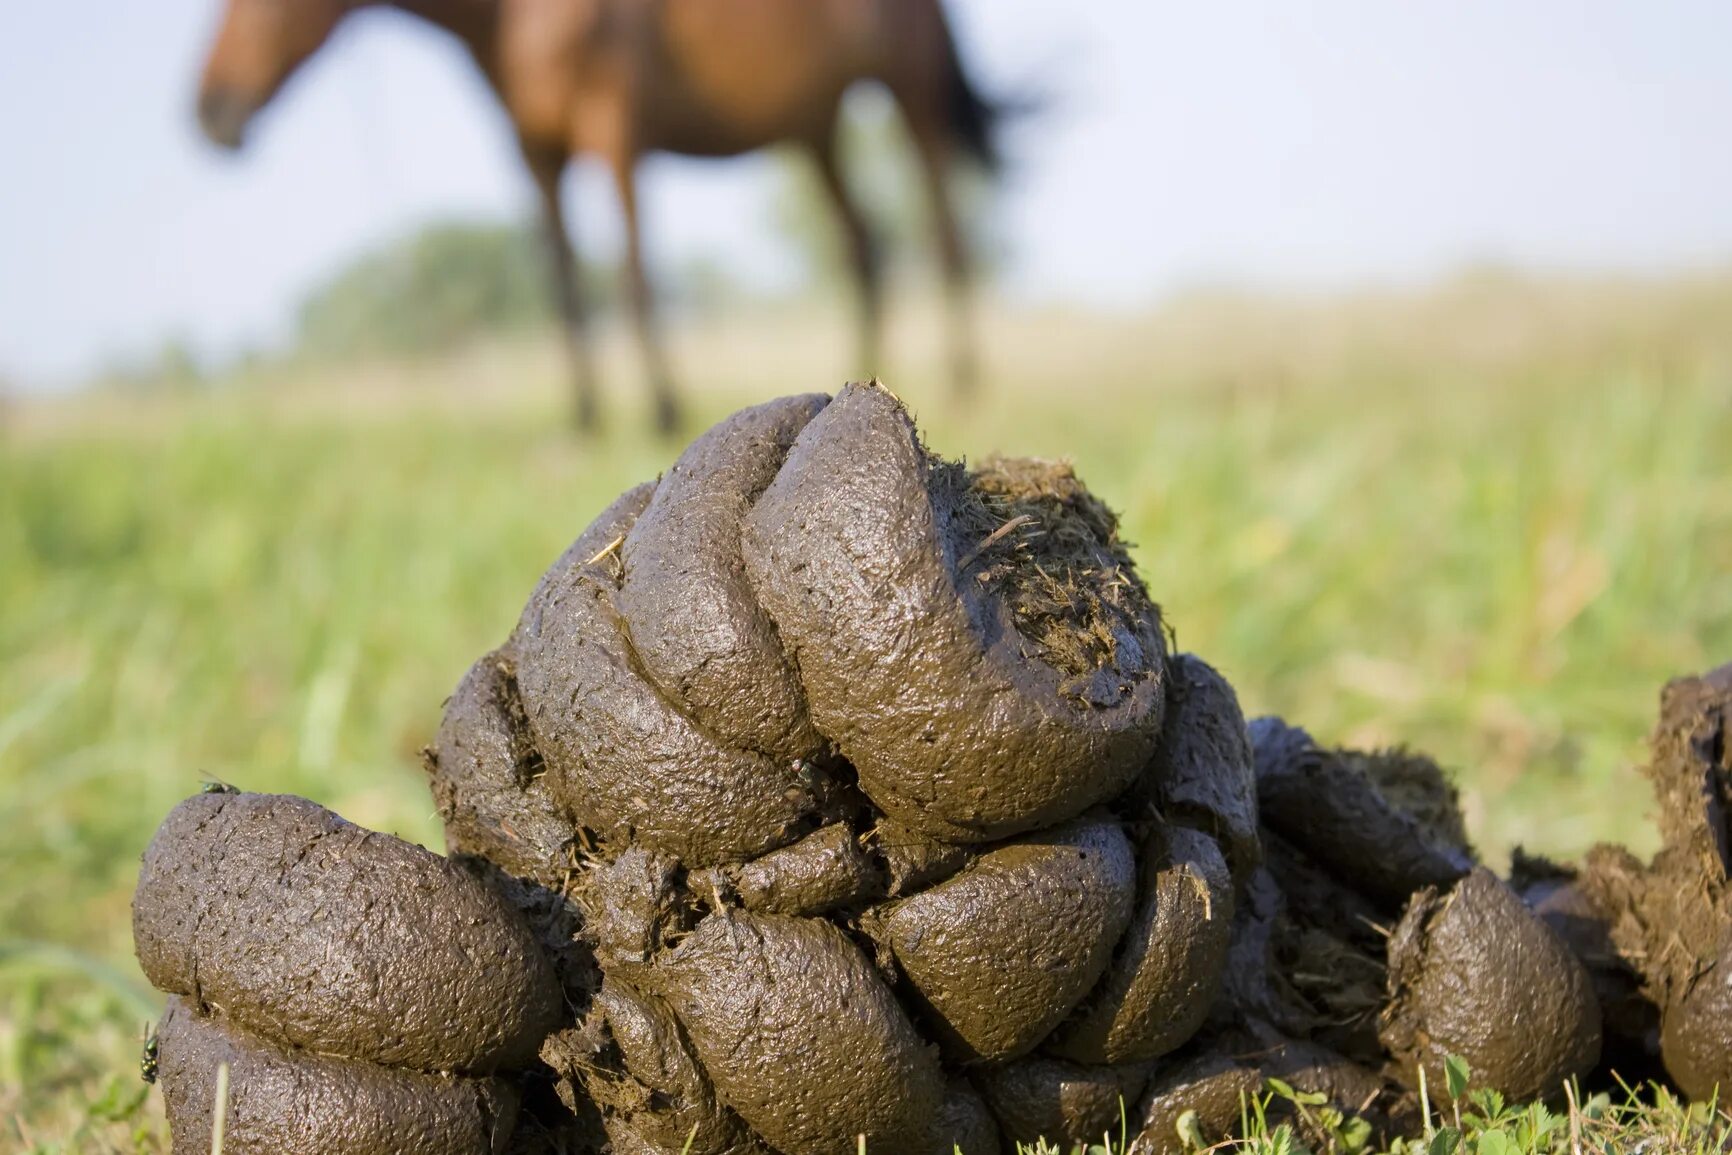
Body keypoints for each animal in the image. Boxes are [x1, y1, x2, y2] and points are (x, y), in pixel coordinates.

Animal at [194, 0, 997, 431]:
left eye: (259, 2)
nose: (208, 110)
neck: (513, 16)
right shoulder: (535, 153)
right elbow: (565, 284)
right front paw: (585, 419)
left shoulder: (614, 126)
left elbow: (634, 274)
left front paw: (663, 409)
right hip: (812, 126)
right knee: (864, 246)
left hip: (909, 93)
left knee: (947, 236)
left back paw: (961, 382)